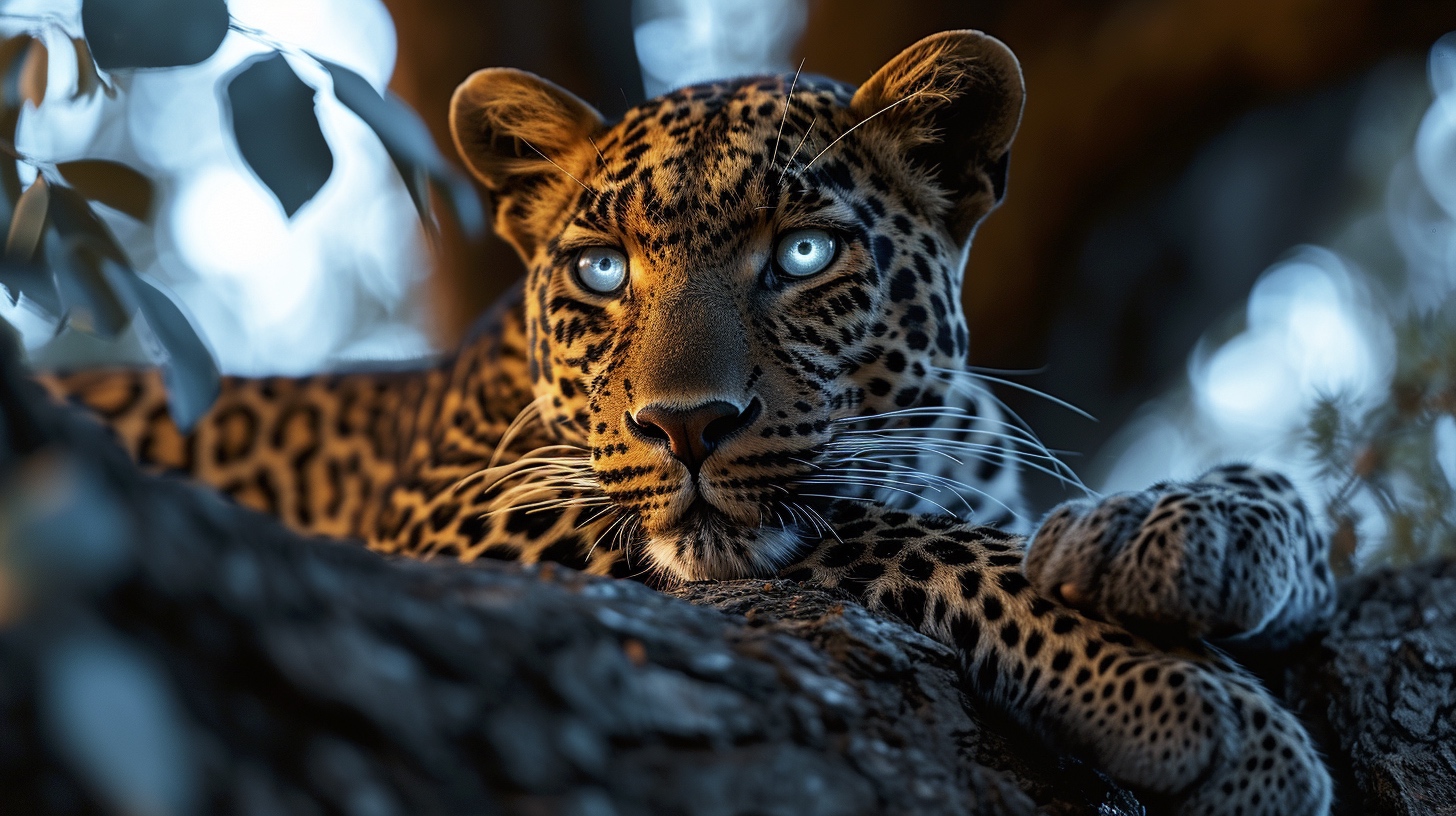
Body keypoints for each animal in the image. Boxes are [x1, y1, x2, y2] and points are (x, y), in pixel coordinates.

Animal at [41, 30, 1336, 815]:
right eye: (603, 270)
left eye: (803, 254)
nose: (686, 427)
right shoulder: (455, 523)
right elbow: (892, 536)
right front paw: (1196, 706)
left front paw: (1204, 533)